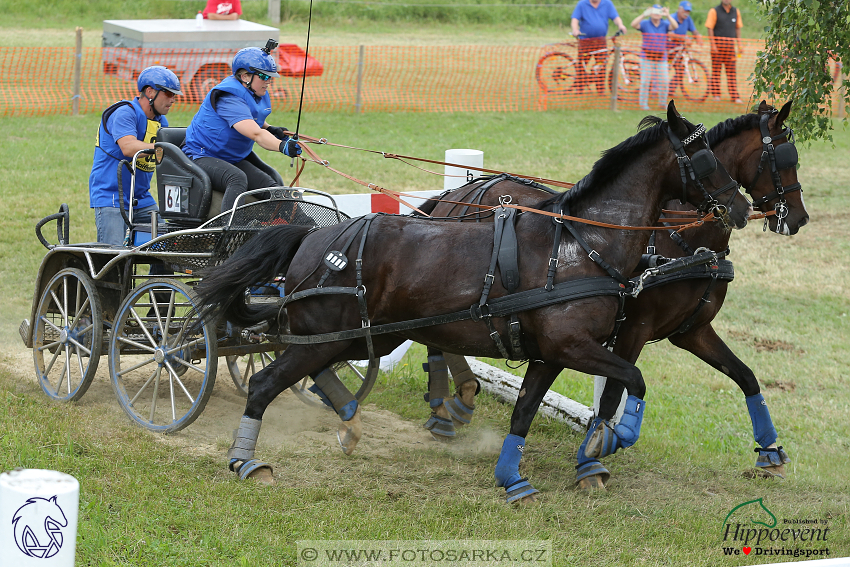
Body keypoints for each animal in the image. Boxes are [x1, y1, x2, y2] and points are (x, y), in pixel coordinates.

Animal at [194, 102, 748, 502]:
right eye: (706, 156)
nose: (740, 207)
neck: (582, 244)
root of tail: (311, 234)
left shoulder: (551, 353)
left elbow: (526, 409)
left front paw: (515, 478)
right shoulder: (573, 346)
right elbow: (632, 379)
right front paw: (608, 441)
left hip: (358, 335)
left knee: (316, 373)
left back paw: (349, 422)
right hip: (327, 334)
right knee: (266, 382)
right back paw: (247, 460)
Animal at [420, 100, 804, 490]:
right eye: (785, 156)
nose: (798, 218)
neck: (682, 242)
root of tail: (457, 194)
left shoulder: (691, 331)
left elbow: (745, 376)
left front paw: (770, 452)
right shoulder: (633, 330)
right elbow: (612, 396)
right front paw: (592, 458)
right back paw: (451, 403)